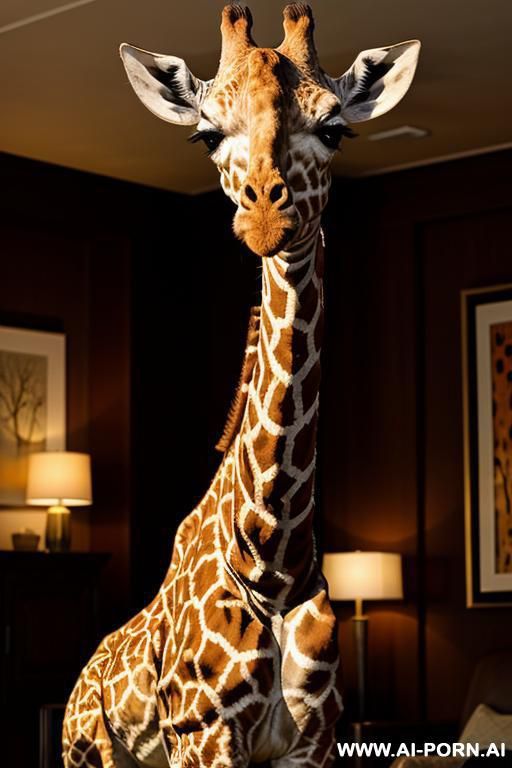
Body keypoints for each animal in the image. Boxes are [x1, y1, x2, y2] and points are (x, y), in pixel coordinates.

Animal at [63, 5, 420, 767]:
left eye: (334, 127)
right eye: (206, 134)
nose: (265, 216)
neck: (271, 557)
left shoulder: (313, 741)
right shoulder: (205, 735)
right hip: (93, 751)